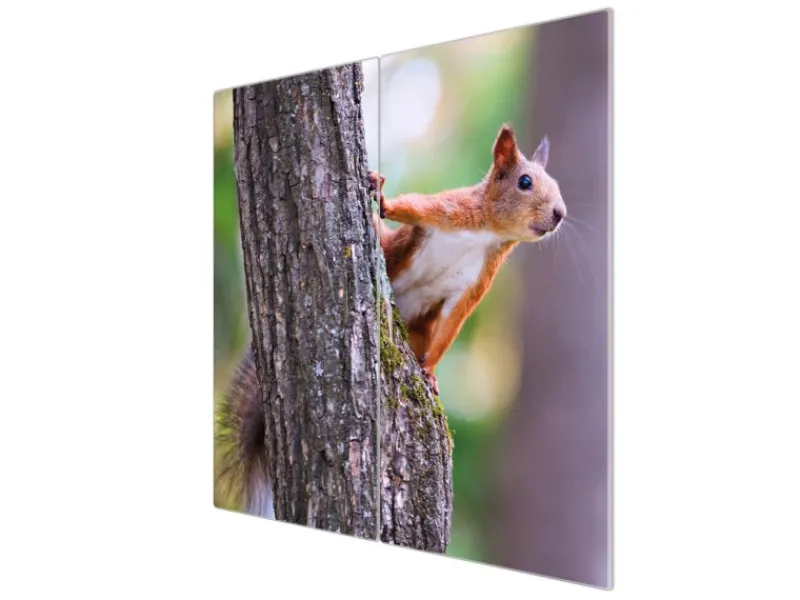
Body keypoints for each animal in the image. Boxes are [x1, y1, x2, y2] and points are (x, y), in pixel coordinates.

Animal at [368, 123, 566, 394]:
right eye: (525, 181)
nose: (560, 213)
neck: (489, 233)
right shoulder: (449, 209)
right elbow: (411, 207)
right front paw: (383, 198)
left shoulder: (477, 277)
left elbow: (453, 319)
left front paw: (429, 370)